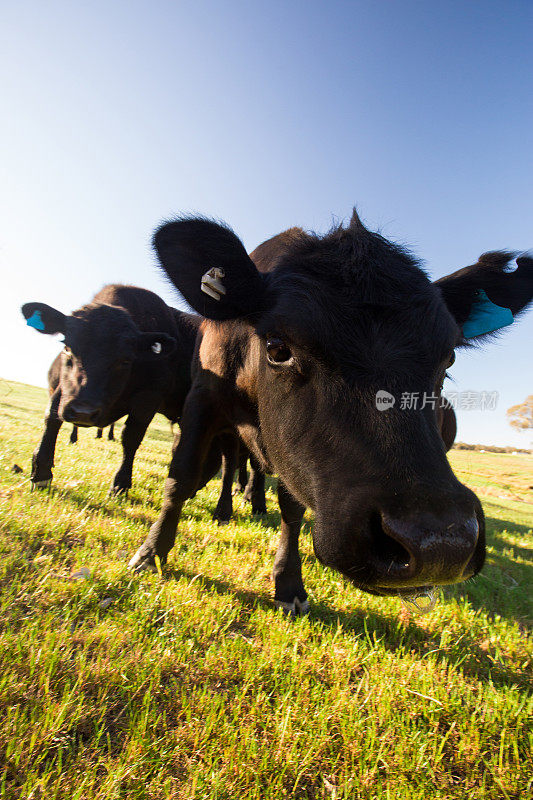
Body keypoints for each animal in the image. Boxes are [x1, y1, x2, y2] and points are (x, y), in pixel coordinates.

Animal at [22, 284, 251, 520]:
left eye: (125, 360)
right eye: (67, 348)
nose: (83, 412)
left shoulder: (148, 398)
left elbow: (130, 437)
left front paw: (120, 484)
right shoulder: (66, 391)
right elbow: (51, 417)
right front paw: (40, 471)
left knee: (229, 461)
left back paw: (224, 508)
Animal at [127, 209, 528, 616]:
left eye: (449, 359)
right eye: (278, 348)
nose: (439, 544)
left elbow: (292, 506)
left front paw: (289, 583)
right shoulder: (203, 397)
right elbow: (180, 476)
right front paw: (151, 553)